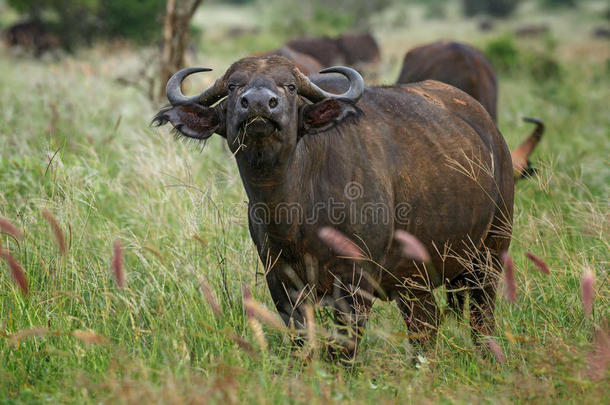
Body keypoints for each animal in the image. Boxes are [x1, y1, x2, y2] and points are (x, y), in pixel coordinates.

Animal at [152, 55, 512, 358]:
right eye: (232, 86)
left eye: (290, 86)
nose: (258, 104)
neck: (294, 213)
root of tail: (493, 135)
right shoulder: (281, 282)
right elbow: (301, 339)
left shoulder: (355, 284)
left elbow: (344, 346)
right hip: (416, 280)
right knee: (425, 325)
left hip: (490, 253)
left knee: (480, 316)